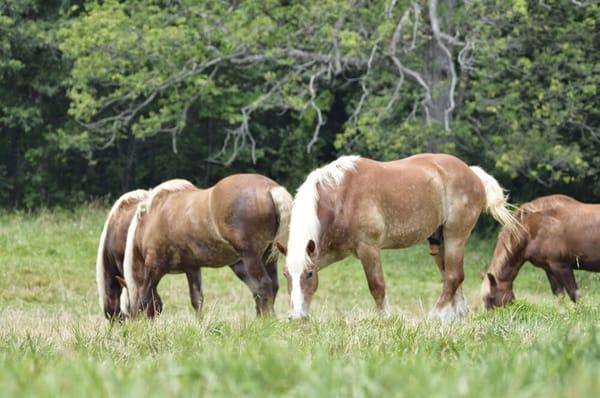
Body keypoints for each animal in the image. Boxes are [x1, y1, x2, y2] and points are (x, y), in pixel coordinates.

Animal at [118, 174, 292, 318]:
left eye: (126, 309)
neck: (151, 219)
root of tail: (270, 189)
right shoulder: (192, 267)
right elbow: (197, 300)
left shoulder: (154, 266)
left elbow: (144, 297)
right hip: (268, 257)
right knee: (272, 287)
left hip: (251, 257)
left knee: (264, 286)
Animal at [274, 154, 516, 322]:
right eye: (285, 274)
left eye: (308, 274)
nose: (295, 318)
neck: (341, 196)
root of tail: (472, 173)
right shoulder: (329, 251)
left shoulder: (369, 248)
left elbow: (377, 286)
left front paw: (387, 319)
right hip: (440, 242)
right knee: (453, 278)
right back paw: (457, 318)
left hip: (455, 236)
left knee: (452, 277)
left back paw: (435, 317)